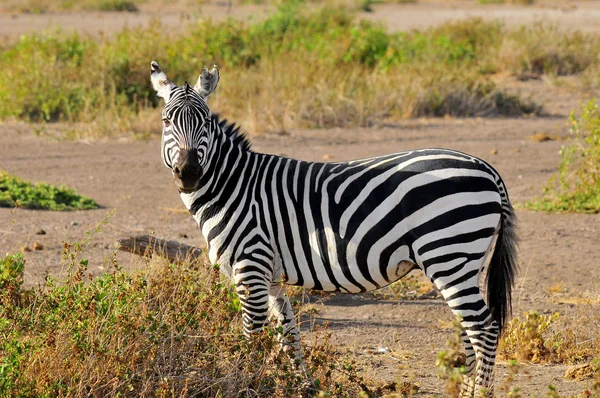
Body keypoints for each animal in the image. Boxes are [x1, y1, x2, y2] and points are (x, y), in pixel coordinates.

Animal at [149, 60, 516, 396]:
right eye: (167, 121)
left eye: (206, 122)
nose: (189, 173)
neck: (233, 187)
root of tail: (485, 167)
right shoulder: (271, 277)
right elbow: (289, 336)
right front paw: (302, 386)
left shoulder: (250, 266)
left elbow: (250, 337)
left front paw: (244, 382)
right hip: (466, 261)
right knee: (469, 330)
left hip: (448, 254)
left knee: (484, 328)